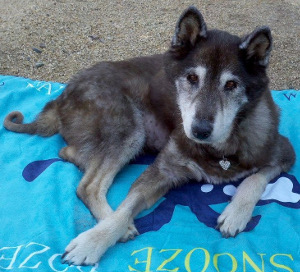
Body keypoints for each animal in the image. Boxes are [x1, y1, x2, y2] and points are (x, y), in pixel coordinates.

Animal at [4, 5, 296, 266]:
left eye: (232, 84)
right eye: (192, 78)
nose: (199, 130)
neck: (220, 148)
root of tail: (61, 95)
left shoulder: (284, 153)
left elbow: (254, 179)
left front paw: (236, 214)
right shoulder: (162, 170)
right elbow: (125, 209)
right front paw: (94, 240)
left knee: (70, 154)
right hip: (130, 129)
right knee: (87, 185)